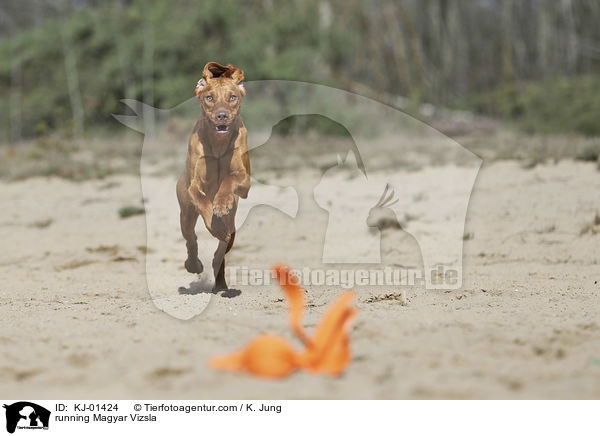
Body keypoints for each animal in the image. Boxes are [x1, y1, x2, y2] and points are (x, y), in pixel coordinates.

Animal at [178, 62, 253, 290]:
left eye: (232, 97)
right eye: (209, 97)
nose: (221, 115)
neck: (218, 145)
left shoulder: (245, 181)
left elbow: (229, 179)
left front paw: (221, 202)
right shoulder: (194, 185)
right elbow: (202, 201)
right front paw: (214, 218)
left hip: (233, 224)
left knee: (221, 251)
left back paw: (220, 284)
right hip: (185, 214)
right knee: (191, 239)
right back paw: (193, 264)